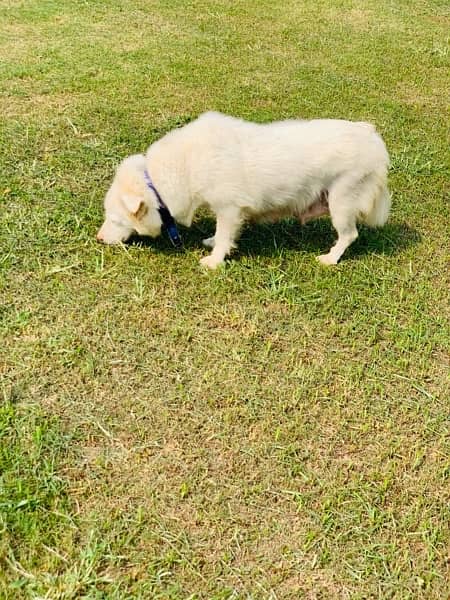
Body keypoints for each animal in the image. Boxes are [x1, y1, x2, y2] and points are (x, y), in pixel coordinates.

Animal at [97, 112, 390, 268]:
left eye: (115, 219)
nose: (98, 239)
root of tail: (371, 135)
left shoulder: (229, 209)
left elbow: (224, 237)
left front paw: (214, 261)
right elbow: (220, 234)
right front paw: (212, 243)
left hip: (342, 202)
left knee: (349, 235)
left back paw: (330, 258)